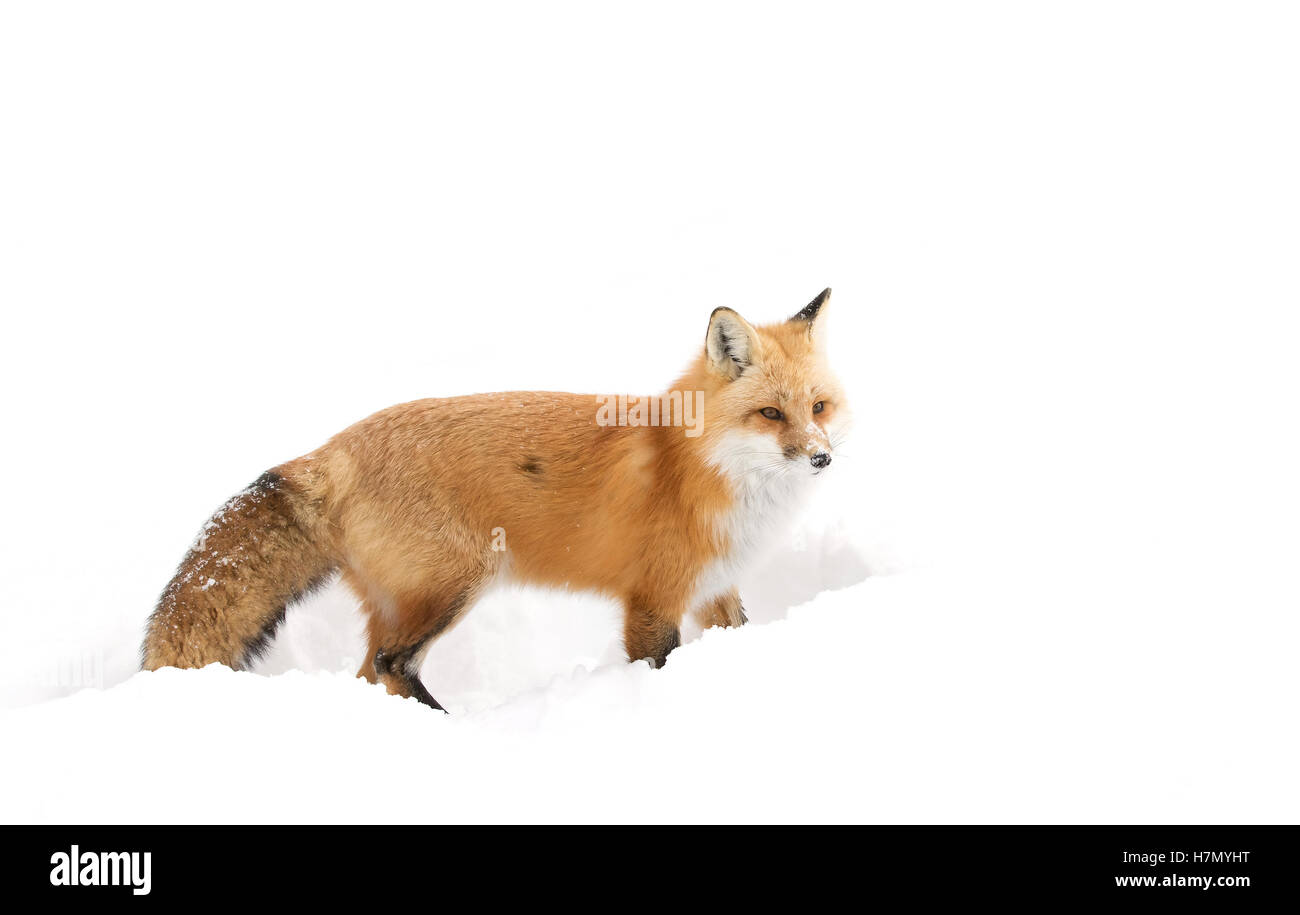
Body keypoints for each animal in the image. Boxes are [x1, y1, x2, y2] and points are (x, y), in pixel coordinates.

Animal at [142, 289, 847, 710]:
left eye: (817, 407)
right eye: (769, 414)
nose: (822, 458)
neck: (698, 469)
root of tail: (333, 449)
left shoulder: (714, 591)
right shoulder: (652, 601)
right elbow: (655, 664)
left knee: (370, 672)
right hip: (455, 584)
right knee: (393, 663)